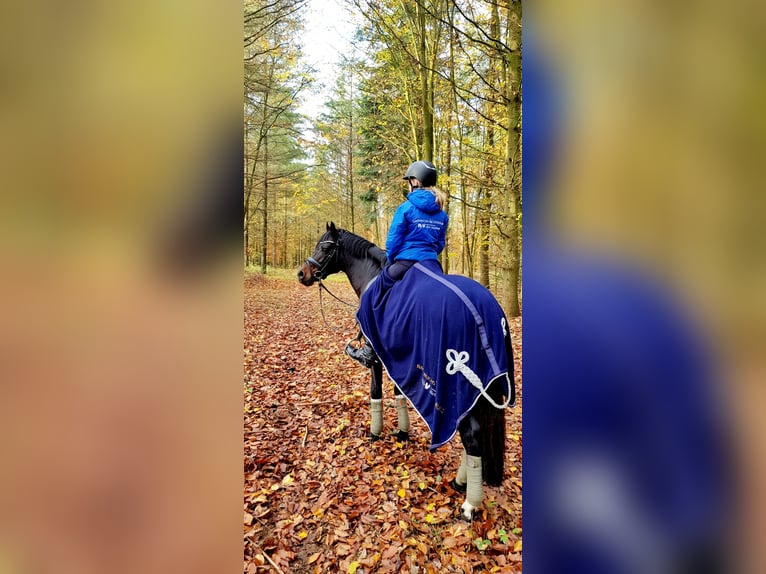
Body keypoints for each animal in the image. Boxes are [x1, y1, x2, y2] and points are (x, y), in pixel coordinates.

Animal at [300, 223, 516, 520]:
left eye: (325, 246)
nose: (302, 273)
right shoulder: (398, 357)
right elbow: (399, 393)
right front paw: (402, 433)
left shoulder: (377, 355)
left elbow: (376, 392)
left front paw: (374, 433)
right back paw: (460, 483)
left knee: (472, 437)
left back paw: (469, 504)